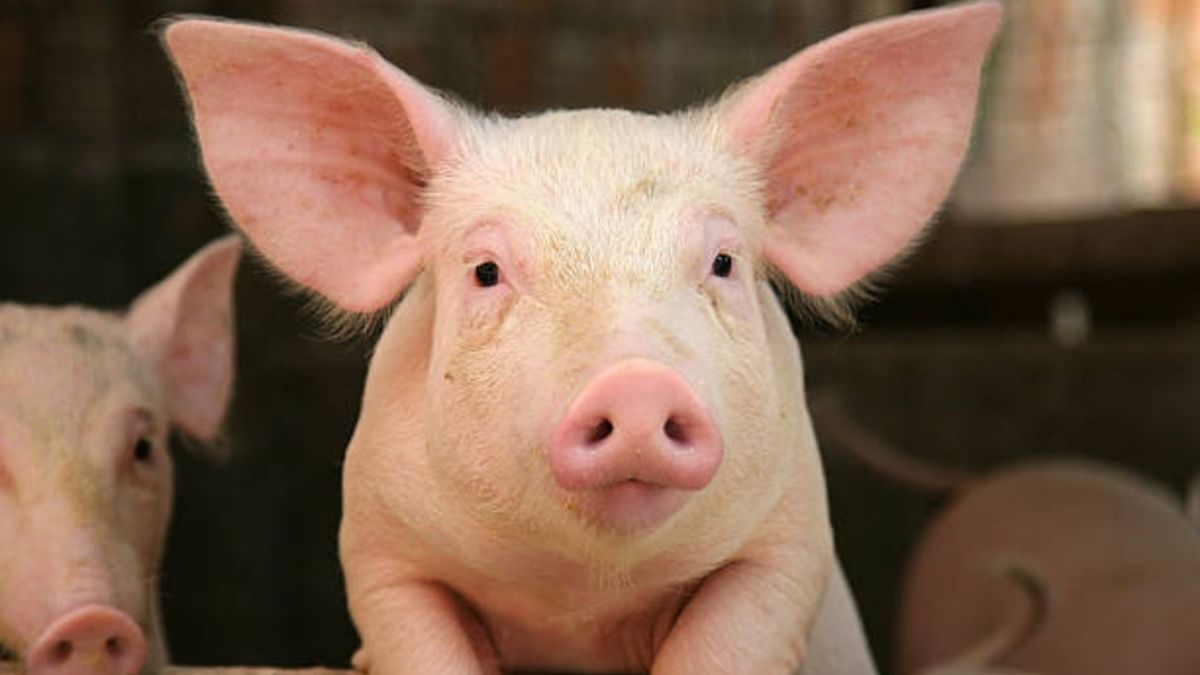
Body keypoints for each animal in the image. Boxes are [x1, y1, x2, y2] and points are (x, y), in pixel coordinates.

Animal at [161, 3, 1000, 673]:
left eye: (723, 262)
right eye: (487, 270)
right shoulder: (379, 549)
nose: (636, 384)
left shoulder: (788, 541)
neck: (581, 597)